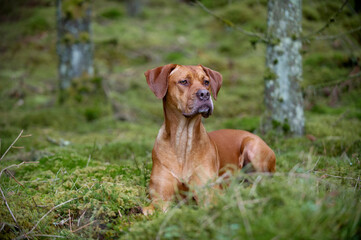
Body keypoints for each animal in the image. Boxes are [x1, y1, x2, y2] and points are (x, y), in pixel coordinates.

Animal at [142, 64, 274, 216]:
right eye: (184, 81)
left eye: (206, 82)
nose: (205, 94)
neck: (183, 140)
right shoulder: (161, 196)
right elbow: (154, 207)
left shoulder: (209, 193)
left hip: (253, 147)